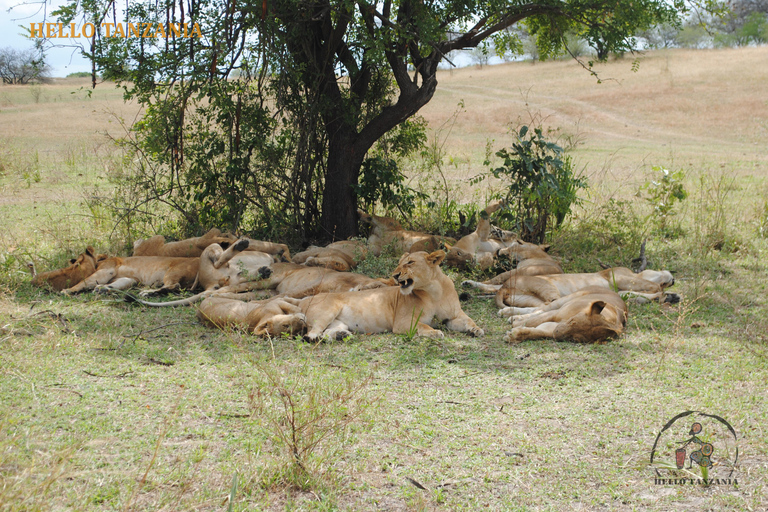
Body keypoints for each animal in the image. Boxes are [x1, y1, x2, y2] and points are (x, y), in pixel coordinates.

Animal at [292, 250, 480, 342]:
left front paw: (476, 329)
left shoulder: (453, 316)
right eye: (399, 263)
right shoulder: (403, 322)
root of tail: (303, 300)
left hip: (338, 322)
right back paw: (317, 338)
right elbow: (424, 326)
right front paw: (435, 333)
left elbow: (468, 320)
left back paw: (340, 336)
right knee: (310, 334)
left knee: (326, 332)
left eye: (410, 262)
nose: (395, 275)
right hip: (327, 311)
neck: (434, 291)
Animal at [504, 284, 632, 344]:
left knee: (538, 310)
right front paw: (516, 325)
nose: (556, 333)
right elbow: (533, 321)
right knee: (541, 308)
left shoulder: (551, 328)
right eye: (572, 321)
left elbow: (537, 332)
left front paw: (514, 335)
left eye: (574, 339)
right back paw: (510, 314)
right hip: (566, 299)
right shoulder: (556, 314)